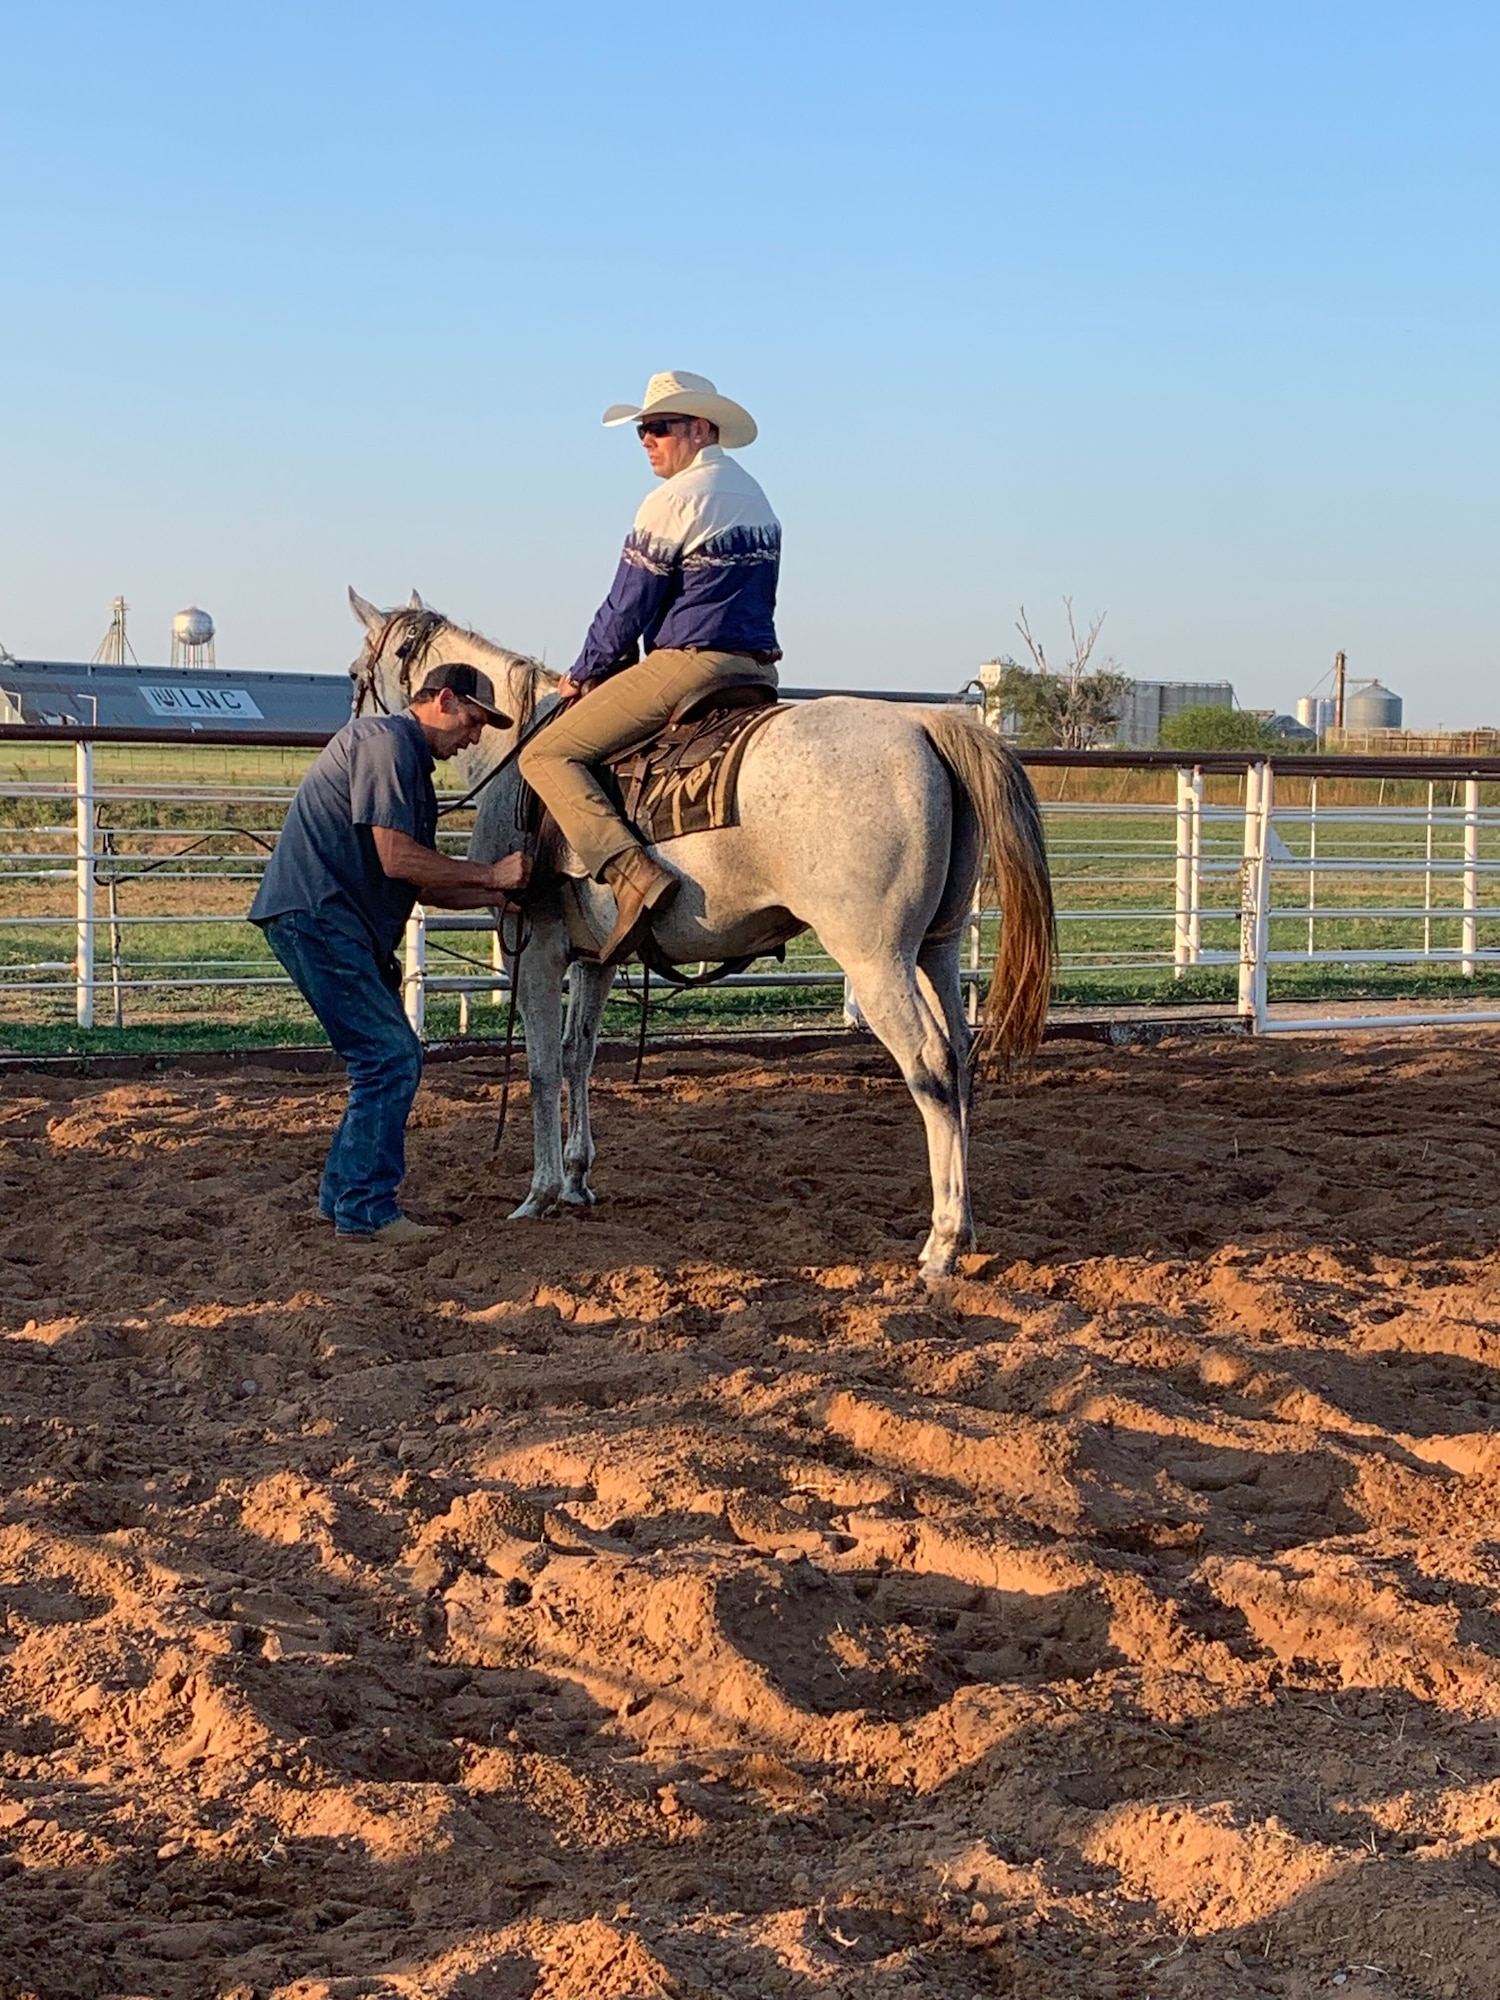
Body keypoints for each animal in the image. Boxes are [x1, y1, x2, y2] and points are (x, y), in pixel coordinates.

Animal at [352, 592, 1056, 1280]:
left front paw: (541, 1191)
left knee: (930, 1066)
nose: (356, 726)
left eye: (359, 674)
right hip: (935, 951)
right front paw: (577, 1180)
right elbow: (580, 1056)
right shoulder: (596, 959)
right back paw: (963, 1226)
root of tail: (925, 726)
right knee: (959, 1057)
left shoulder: (538, 950)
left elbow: (543, 1066)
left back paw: (943, 1242)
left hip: (877, 960)